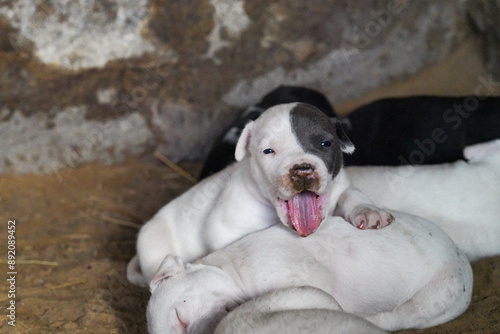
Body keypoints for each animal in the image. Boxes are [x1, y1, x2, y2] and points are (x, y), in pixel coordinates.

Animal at [127, 103, 392, 286]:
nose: (303, 170)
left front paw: (369, 212)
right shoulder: (226, 228)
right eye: (268, 151)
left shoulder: (340, 186)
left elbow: (352, 193)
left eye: (326, 144)